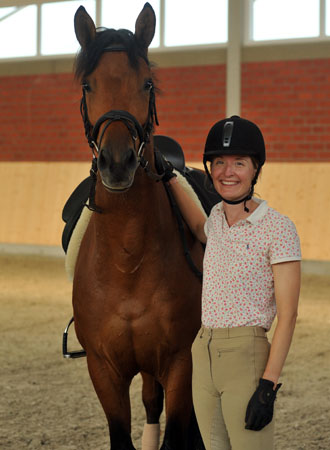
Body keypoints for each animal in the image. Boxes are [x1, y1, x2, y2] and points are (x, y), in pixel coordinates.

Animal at [73, 3, 204, 450]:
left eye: (146, 83)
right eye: (88, 85)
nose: (117, 162)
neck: (127, 260)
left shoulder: (179, 361)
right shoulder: (103, 370)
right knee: (149, 400)